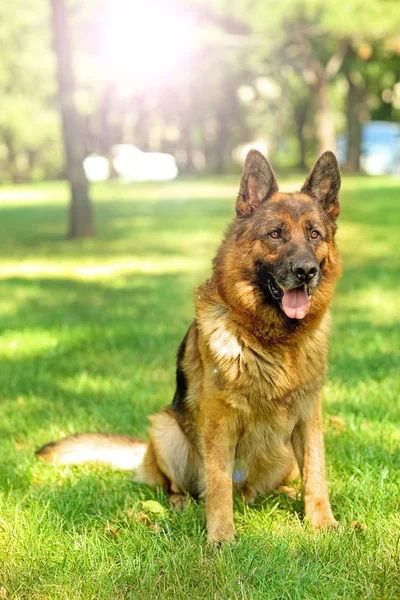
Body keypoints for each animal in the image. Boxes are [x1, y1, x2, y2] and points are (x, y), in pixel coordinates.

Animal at [37, 149, 342, 544]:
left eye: (314, 234)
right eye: (275, 234)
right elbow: (218, 482)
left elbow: (316, 474)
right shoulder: (219, 422)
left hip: (284, 455)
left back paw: (282, 493)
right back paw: (181, 504)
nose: (306, 271)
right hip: (165, 429)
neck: (274, 340)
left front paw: (321, 522)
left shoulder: (309, 418)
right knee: (182, 487)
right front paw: (221, 537)